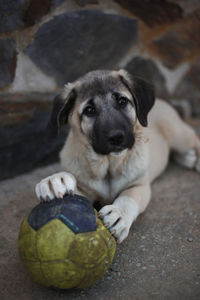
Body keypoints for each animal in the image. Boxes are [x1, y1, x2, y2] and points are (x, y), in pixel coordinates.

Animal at [34, 69, 200, 243]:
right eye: (89, 110)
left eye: (122, 101)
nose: (116, 137)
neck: (108, 165)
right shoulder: (85, 190)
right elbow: (75, 196)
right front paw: (56, 180)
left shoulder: (138, 185)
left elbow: (128, 198)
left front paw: (119, 214)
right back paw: (188, 158)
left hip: (179, 135)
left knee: (194, 138)